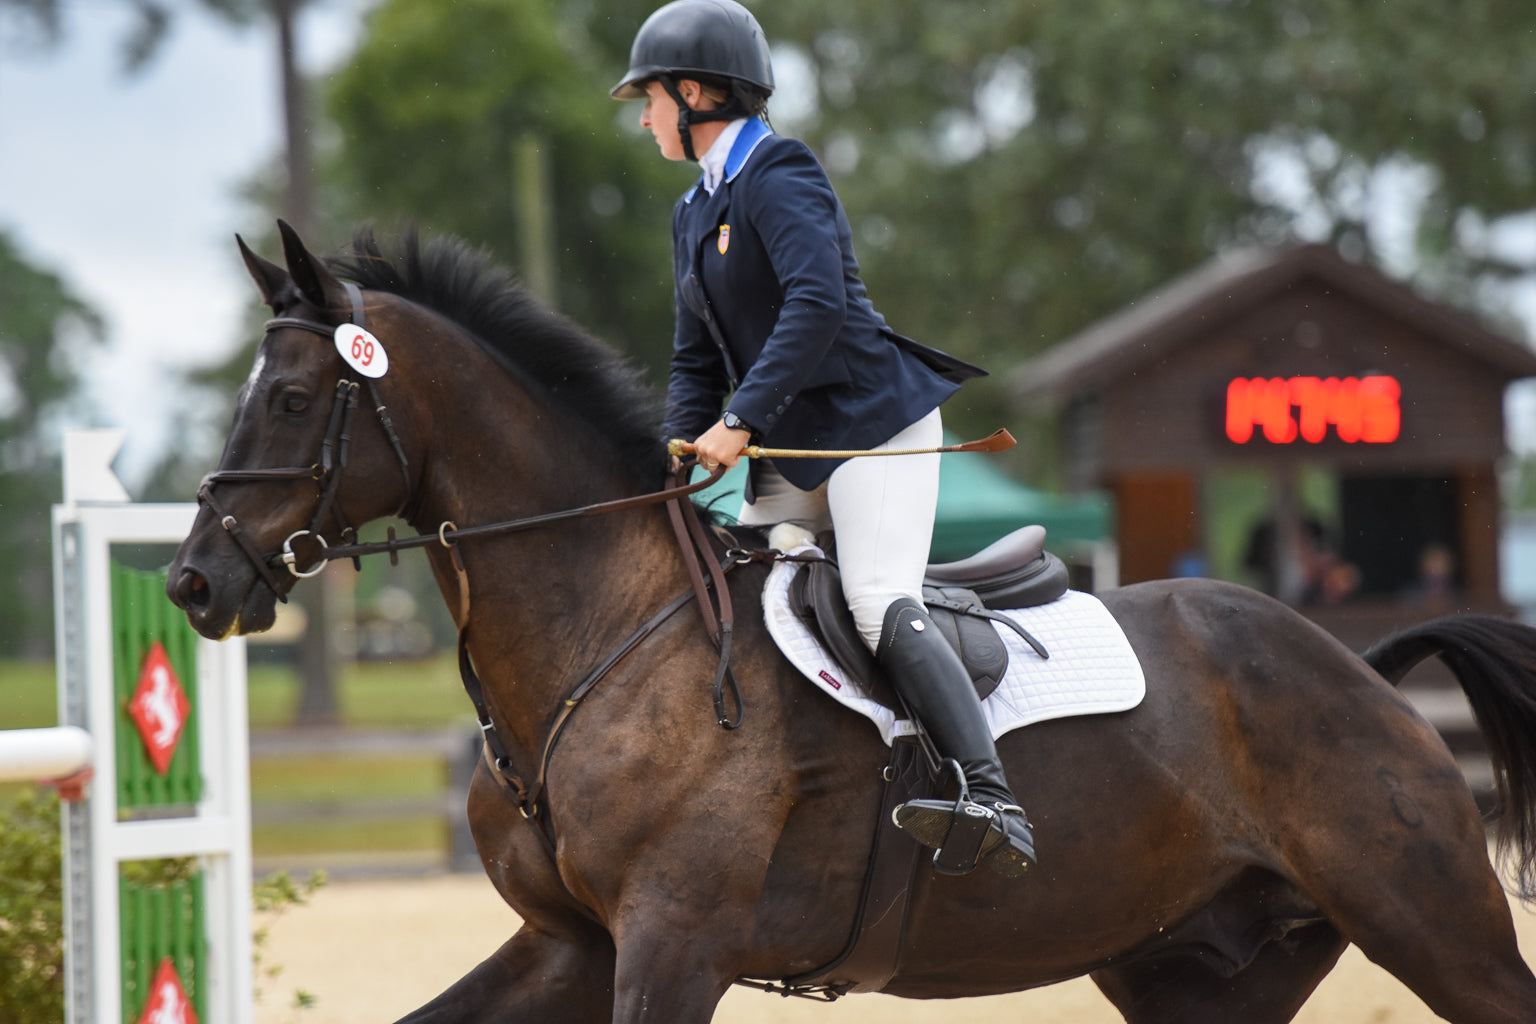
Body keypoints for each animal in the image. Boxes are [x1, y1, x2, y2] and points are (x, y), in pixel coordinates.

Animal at [167, 220, 1536, 1023]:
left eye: (292, 399)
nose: (193, 584)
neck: (602, 634)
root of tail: (1361, 669)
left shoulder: (673, 942)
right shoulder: (570, 943)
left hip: (1431, 922)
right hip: (1200, 968)